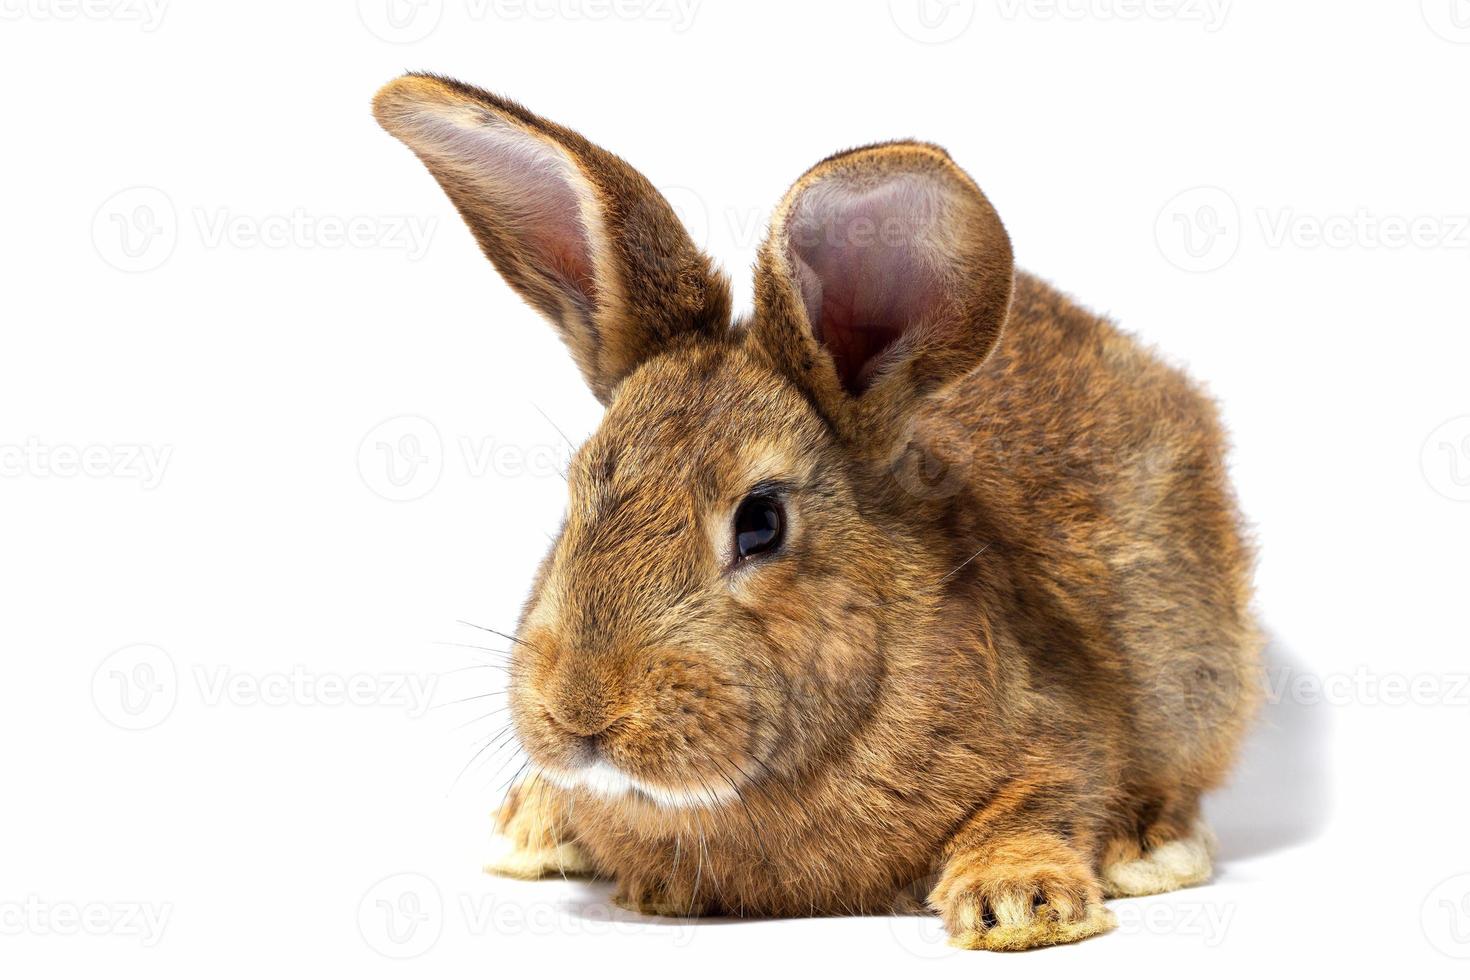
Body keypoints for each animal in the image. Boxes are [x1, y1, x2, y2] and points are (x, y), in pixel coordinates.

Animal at [373, 74, 1258, 952]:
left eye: (760, 523)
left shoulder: (1070, 731)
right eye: (577, 490)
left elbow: (1051, 798)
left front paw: (1019, 902)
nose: (582, 711)